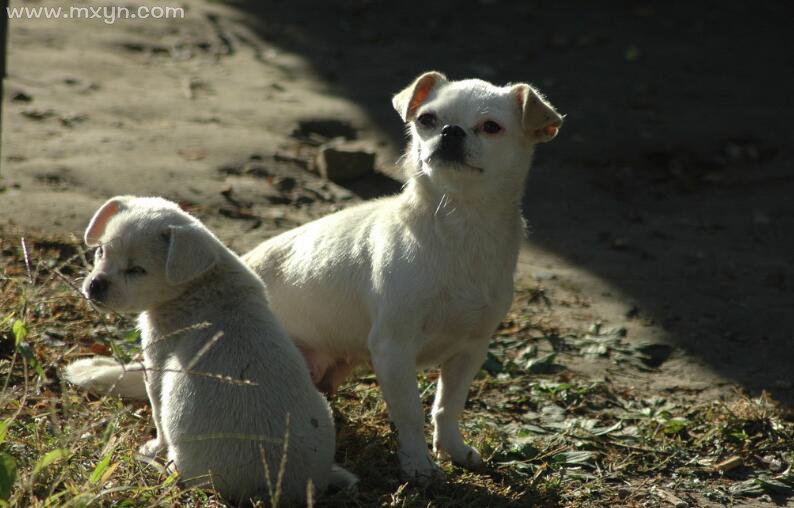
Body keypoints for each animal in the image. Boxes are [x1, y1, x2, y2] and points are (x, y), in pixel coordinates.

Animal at [74, 195, 344, 504]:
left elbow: (156, 410)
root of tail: (282, 490)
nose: (94, 285)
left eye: (136, 271)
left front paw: (152, 447)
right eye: (100, 251)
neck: (201, 283)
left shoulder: (157, 363)